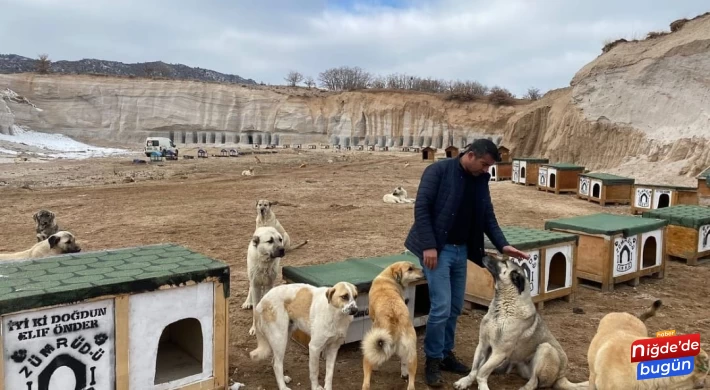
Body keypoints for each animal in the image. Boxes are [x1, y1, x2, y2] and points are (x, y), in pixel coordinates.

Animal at [364, 260, 426, 390]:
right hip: (412, 352)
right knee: (410, 377)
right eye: (410, 269)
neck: (389, 278)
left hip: (370, 348)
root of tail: (394, 320)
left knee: (366, 383)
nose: (424, 270)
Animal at [456, 256, 588, 390]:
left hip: (546, 349)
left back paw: (525, 387)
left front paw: (482, 385)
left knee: (535, 381)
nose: (484, 255)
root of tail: (561, 376)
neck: (504, 307)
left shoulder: (499, 352)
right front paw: (465, 381)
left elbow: (481, 371)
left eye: (503, 262)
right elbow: (474, 369)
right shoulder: (483, 345)